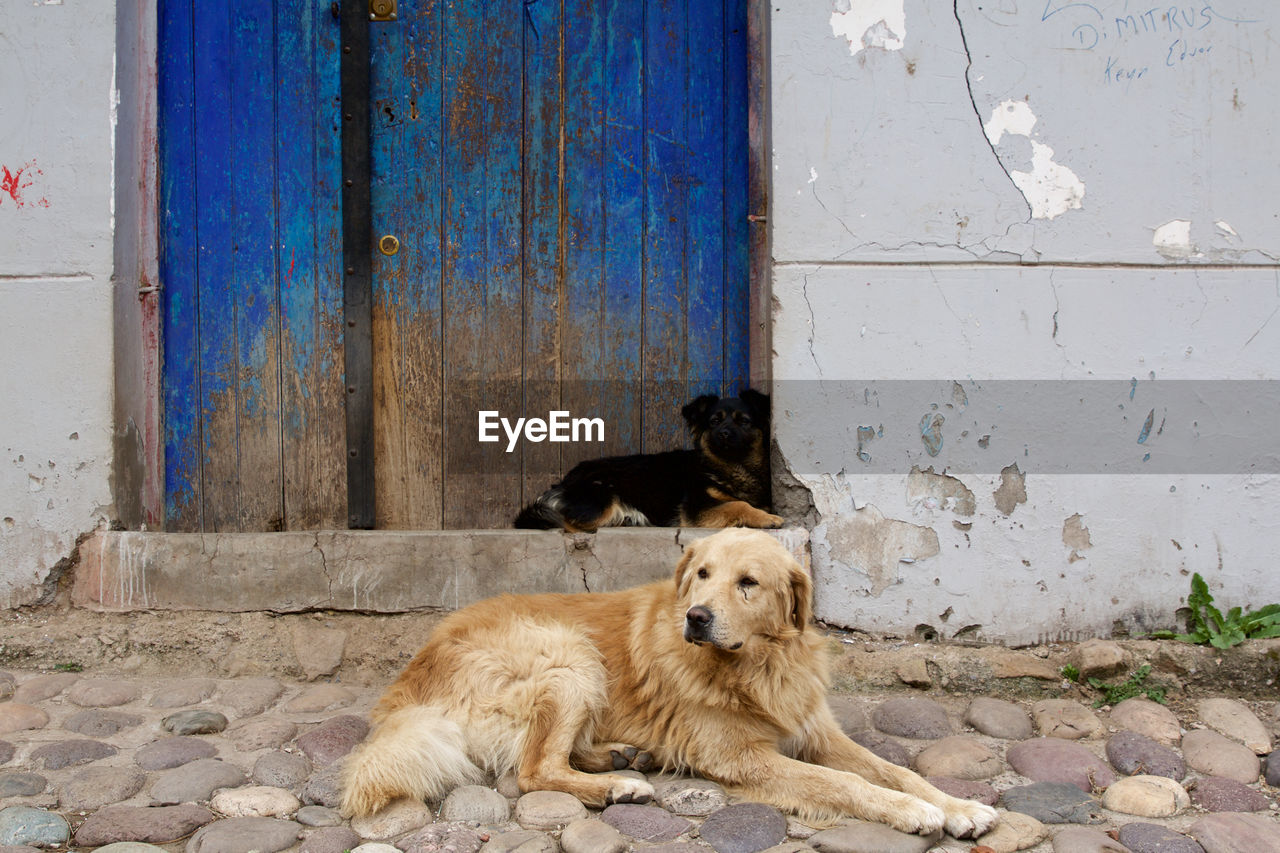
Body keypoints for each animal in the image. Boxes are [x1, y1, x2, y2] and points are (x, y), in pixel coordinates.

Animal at [340, 527, 998, 835]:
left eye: (748, 583)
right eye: (701, 573)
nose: (696, 617)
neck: (757, 665)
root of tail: (407, 685)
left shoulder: (816, 732)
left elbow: (897, 771)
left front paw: (960, 806)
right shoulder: (744, 758)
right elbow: (845, 785)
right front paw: (913, 813)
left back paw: (621, 756)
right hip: (572, 658)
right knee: (532, 771)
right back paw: (618, 786)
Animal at [512, 389, 778, 527]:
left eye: (744, 421)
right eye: (714, 421)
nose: (723, 434)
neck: (731, 466)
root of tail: (563, 482)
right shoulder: (695, 508)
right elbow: (737, 504)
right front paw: (768, 518)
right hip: (601, 498)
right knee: (566, 523)